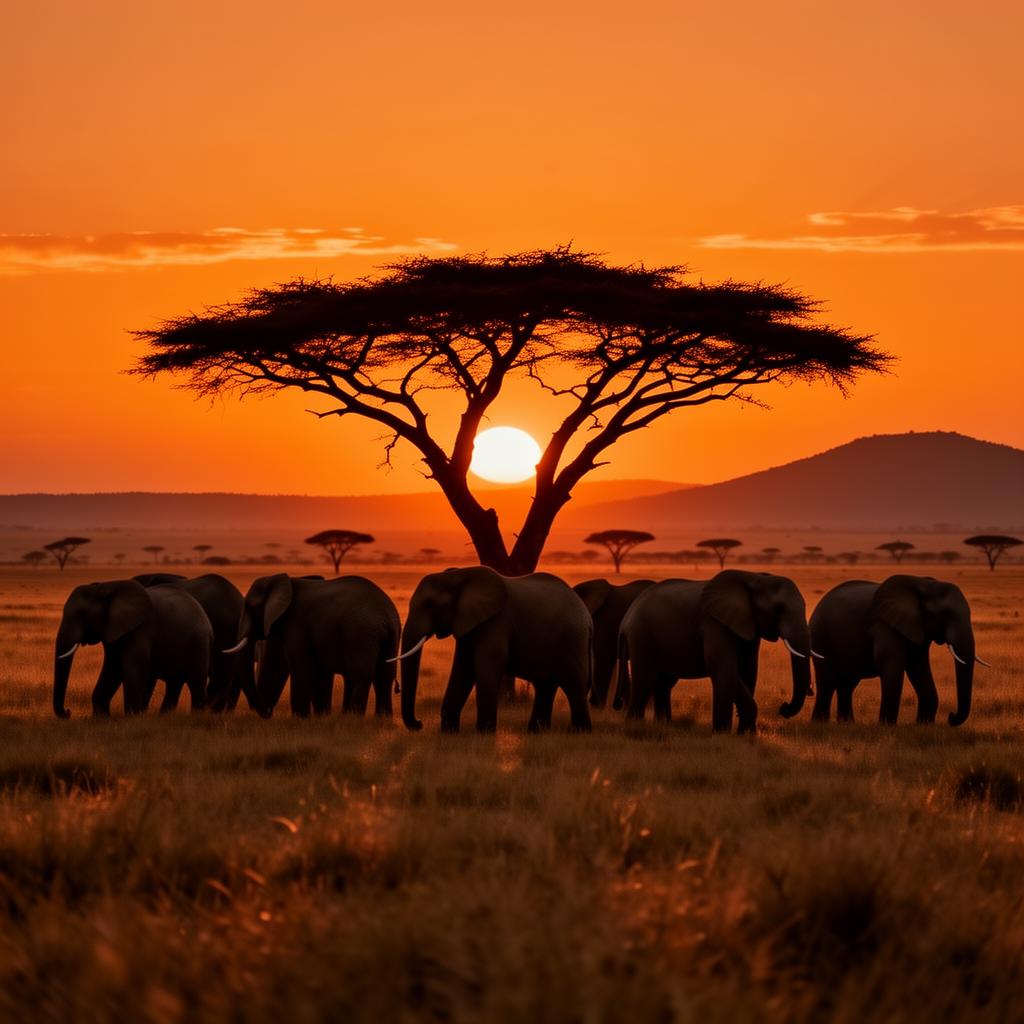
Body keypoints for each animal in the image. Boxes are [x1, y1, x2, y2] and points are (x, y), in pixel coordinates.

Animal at [53, 579, 212, 717]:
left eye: (82, 614)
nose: (68, 712)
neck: (105, 587)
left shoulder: (142, 628)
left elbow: (132, 668)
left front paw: (132, 718)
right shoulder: (113, 630)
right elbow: (112, 669)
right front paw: (101, 719)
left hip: (200, 643)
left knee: (196, 680)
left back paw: (195, 715)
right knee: (175, 682)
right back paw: (164, 716)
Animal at [231, 574, 400, 717]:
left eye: (249, 607)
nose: (266, 713)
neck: (282, 580)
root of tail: (385, 615)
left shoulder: (295, 623)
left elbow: (298, 666)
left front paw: (300, 719)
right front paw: (321, 718)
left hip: (361, 632)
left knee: (360, 675)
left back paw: (354, 718)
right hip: (388, 635)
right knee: (383, 676)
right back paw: (380, 720)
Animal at [395, 566, 593, 734]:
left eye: (430, 604)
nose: (419, 723)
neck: (459, 575)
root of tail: (587, 615)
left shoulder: (496, 621)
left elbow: (486, 665)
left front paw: (484, 734)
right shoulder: (467, 623)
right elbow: (463, 668)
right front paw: (449, 734)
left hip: (573, 639)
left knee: (573, 683)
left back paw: (580, 732)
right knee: (546, 685)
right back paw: (536, 733)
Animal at [617, 570, 812, 734]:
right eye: (779, 608)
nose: (783, 708)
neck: (754, 577)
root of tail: (626, 619)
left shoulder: (749, 626)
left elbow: (748, 670)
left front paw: (746, 736)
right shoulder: (714, 623)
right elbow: (723, 668)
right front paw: (723, 735)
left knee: (663, 683)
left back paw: (663, 725)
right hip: (640, 636)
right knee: (644, 679)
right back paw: (634, 725)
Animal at [787, 575, 986, 726]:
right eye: (945, 614)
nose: (951, 716)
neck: (924, 584)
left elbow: (919, 668)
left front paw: (924, 726)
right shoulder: (885, 625)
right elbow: (891, 665)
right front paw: (887, 726)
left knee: (847, 685)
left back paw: (847, 724)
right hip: (820, 636)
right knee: (827, 682)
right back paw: (821, 724)